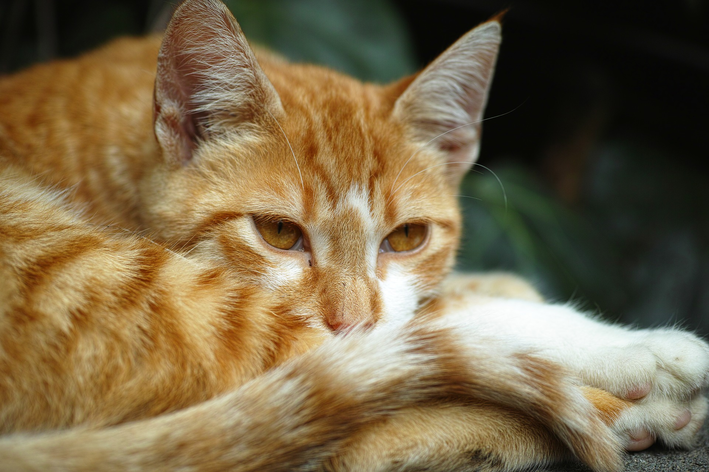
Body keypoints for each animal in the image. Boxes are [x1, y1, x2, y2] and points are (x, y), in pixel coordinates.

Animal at [0, 1, 704, 470]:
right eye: (279, 232)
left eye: (407, 237)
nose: (353, 320)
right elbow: (444, 324)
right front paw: (637, 350)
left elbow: (448, 297)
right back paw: (625, 411)